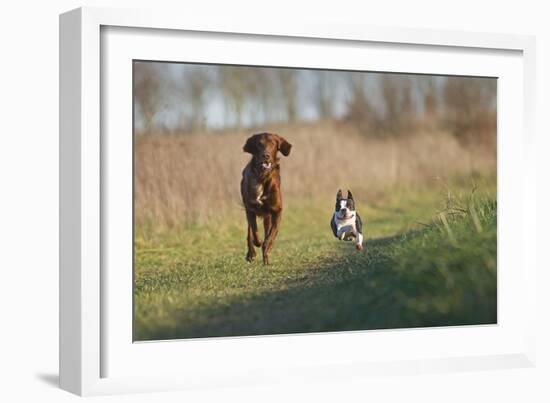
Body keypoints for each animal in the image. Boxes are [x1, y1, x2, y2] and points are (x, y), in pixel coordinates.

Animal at [240, 132, 294, 266]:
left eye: (273, 144)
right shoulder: (250, 208)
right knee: (249, 232)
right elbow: (254, 232)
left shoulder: (276, 211)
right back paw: (251, 253)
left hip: (267, 216)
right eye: (259, 144)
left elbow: (271, 236)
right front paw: (257, 243)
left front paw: (267, 249)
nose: (266, 156)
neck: (262, 177)